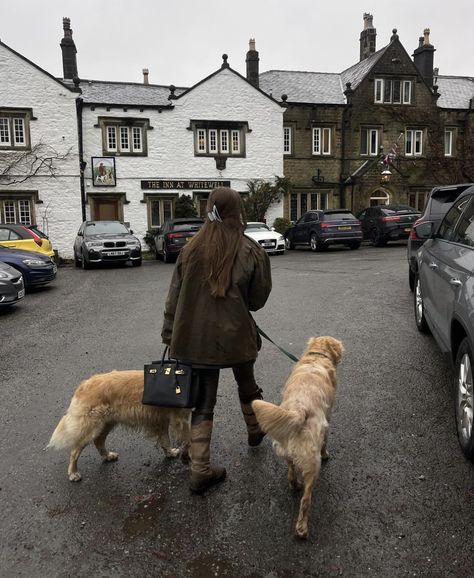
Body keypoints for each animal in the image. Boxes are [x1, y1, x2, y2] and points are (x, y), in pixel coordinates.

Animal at [47, 366, 190, 480]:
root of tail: (85, 384)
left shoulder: (162, 420)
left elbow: (165, 440)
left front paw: (170, 453)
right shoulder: (180, 419)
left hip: (106, 423)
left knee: (98, 441)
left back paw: (107, 456)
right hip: (91, 427)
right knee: (75, 451)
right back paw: (73, 473)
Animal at [254, 336, 342, 536]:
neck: (317, 357)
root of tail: (299, 409)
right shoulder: (328, 417)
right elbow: (326, 441)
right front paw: (327, 454)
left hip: (287, 448)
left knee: (291, 471)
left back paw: (294, 485)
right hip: (313, 463)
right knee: (306, 499)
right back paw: (302, 529)